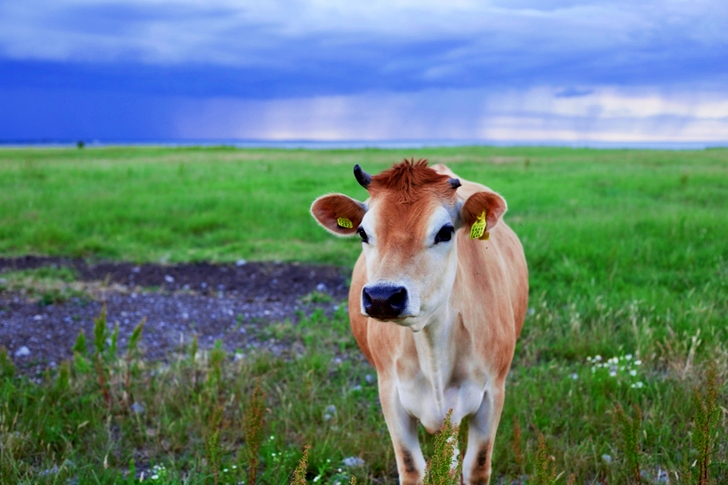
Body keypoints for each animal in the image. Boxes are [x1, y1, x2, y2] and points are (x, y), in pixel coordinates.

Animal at [310, 159, 528, 485]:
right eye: (362, 232)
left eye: (446, 232)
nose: (382, 297)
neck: (433, 346)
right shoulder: (390, 392)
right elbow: (413, 467)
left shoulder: (492, 393)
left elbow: (475, 467)